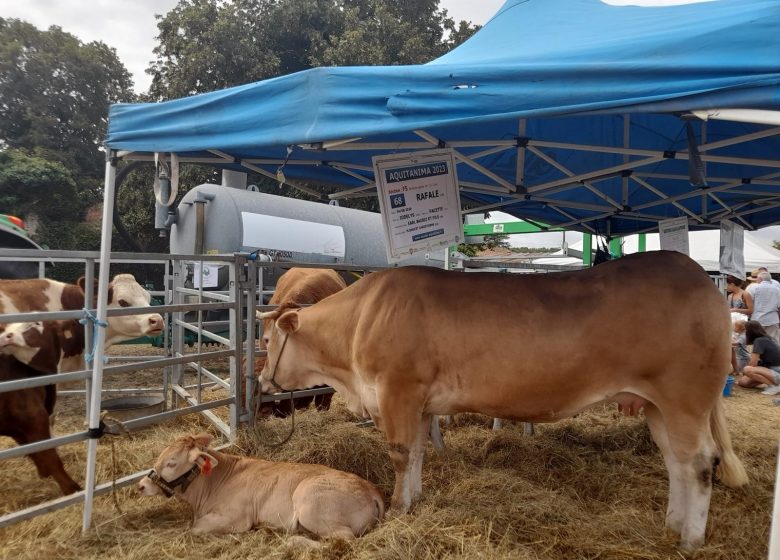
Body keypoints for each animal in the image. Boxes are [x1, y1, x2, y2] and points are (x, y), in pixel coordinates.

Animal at [140, 430, 386, 540]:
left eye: (172, 463)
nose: (141, 485)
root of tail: (371, 488)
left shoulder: (237, 518)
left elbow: (195, 528)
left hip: (311, 505)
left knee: (344, 539)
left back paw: (295, 540)